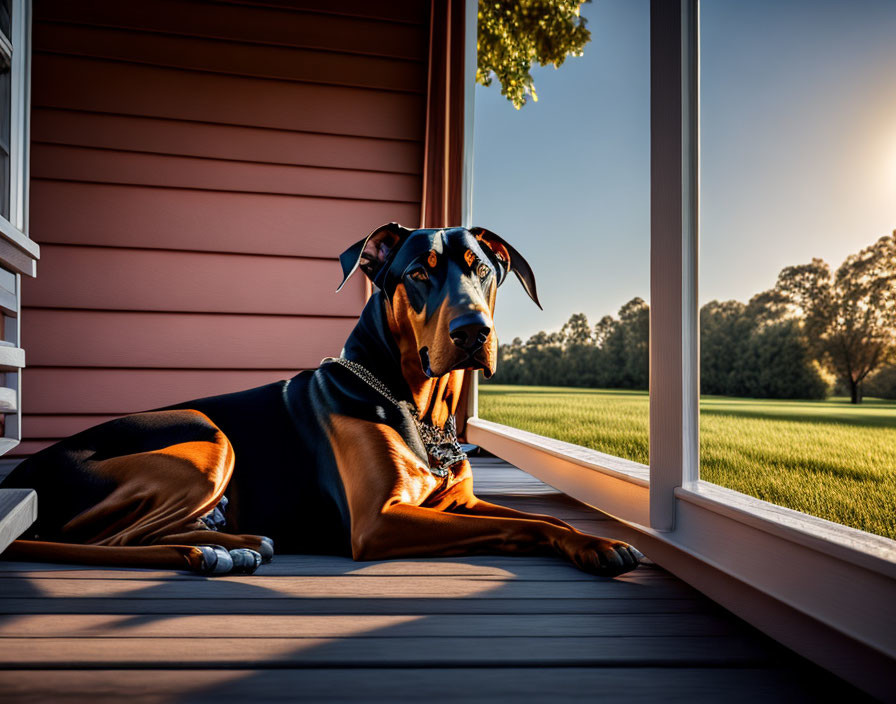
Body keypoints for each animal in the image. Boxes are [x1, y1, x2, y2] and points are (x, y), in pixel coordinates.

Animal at [1, 224, 644, 576]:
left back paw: (234, 542)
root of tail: (22, 475)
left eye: (481, 268)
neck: (419, 411)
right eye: (418, 274)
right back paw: (212, 553)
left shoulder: (457, 502)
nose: (473, 332)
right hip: (207, 434)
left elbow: (539, 518)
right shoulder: (379, 521)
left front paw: (599, 542)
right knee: (110, 541)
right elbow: (515, 527)